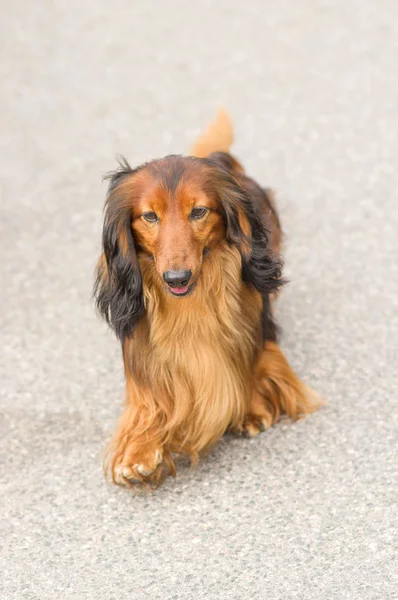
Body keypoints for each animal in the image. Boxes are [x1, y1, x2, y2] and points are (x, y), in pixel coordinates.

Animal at [95, 110, 318, 488]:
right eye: (150, 216)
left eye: (198, 211)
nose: (177, 278)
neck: (190, 305)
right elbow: (149, 404)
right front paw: (139, 451)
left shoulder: (254, 329)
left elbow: (256, 363)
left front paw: (253, 406)